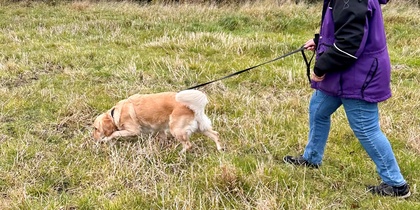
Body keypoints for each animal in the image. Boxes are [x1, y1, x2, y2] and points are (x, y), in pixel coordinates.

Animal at [92, 89, 223, 153]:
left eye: (96, 129)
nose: (93, 138)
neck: (115, 113)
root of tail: (192, 107)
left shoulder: (132, 130)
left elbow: (115, 133)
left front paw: (105, 139)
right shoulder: (159, 130)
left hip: (176, 129)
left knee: (188, 145)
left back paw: (179, 153)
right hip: (201, 127)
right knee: (215, 134)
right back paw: (220, 149)